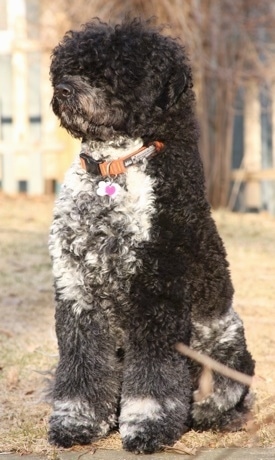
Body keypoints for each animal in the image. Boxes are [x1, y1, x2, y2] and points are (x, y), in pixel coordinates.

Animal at [48, 17, 256, 452]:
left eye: (114, 73)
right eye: (71, 67)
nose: (63, 90)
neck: (113, 171)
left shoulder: (158, 294)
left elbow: (154, 376)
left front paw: (148, 427)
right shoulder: (77, 293)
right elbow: (80, 366)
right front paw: (76, 422)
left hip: (225, 341)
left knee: (227, 392)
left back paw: (217, 416)